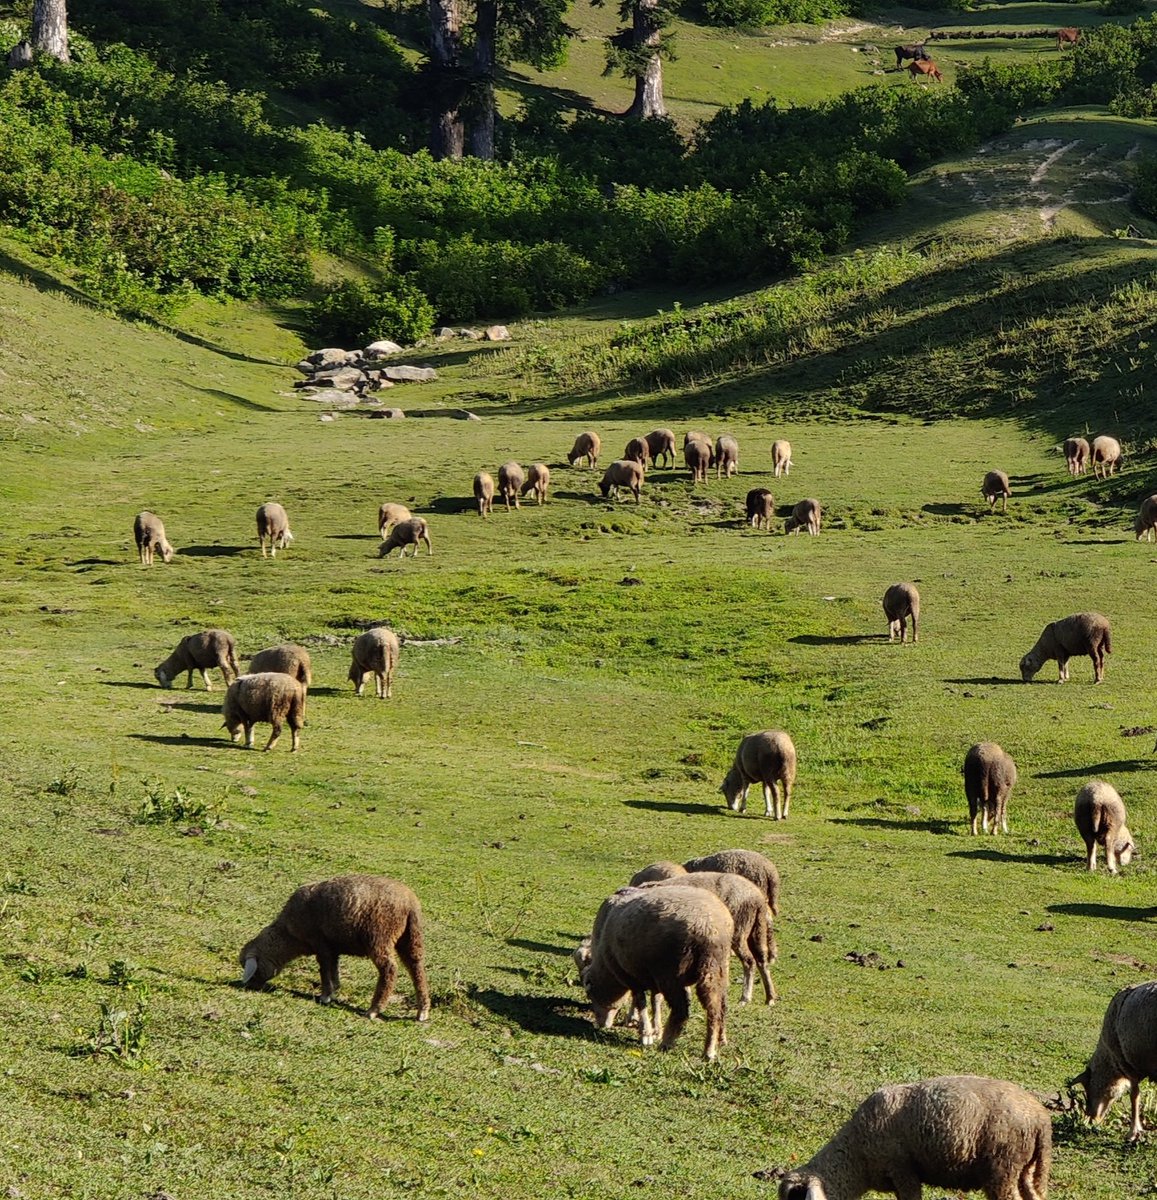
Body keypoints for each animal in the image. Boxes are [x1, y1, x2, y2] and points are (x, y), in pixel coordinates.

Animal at [237, 873, 432, 1022]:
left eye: (254, 970)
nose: (250, 987)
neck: (289, 934)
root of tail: (409, 902)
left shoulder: (319, 942)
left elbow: (324, 968)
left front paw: (325, 996)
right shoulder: (332, 946)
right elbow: (333, 968)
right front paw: (334, 990)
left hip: (380, 935)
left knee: (389, 969)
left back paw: (374, 1010)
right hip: (410, 938)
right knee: (417, 968)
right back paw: (422, 1011)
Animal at [578, 883, 734, 1060]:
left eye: (590, 994)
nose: (600, 1024)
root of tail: (708, 927)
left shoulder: (631, 976)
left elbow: (641, 1002)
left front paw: (646, 1034)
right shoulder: (651, 975)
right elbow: (655, 1000)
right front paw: (656, 1029)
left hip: (671, 974)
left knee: (681, 1010)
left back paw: (667, 1043)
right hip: (716, 968)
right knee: (717, 1008)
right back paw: (712, 1047)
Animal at [638, 873, 782, 1003]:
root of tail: (757, 897)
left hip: (739, 929)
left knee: (749, 961)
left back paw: (745, 998)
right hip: (756, 929)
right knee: (761, 961)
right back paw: (770, 997)